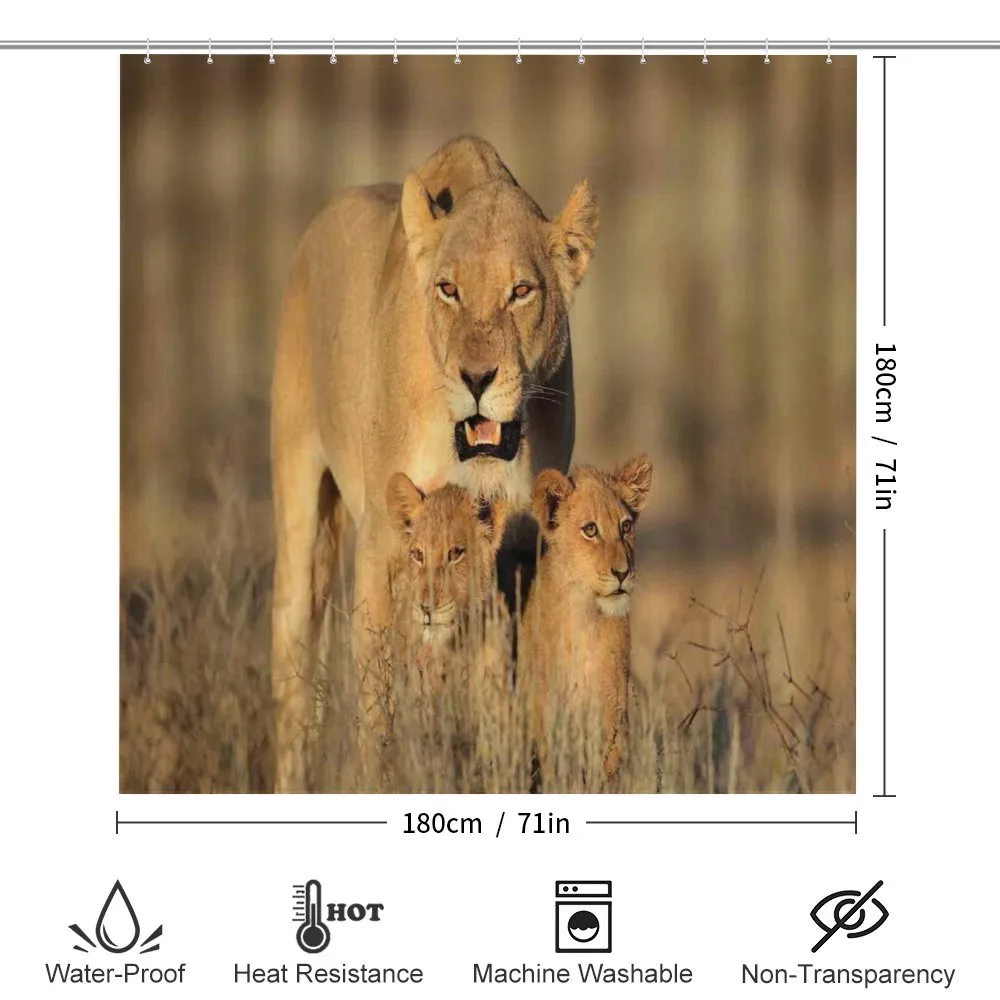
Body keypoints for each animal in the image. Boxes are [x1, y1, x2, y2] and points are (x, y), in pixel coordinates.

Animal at [270, 136, 598, 790]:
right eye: (448, 290)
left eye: (521, 292)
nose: (476, 379)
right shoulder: (383, 541)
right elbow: (378, 698)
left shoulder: (518, 557)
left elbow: (501, 695)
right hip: (300, 513)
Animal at [521, 454, 653, 786]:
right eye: (590, 530)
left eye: (626, 526)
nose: (623, 572)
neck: (583, 617)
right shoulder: (545, 709)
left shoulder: (612, 707)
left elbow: (607, 768)